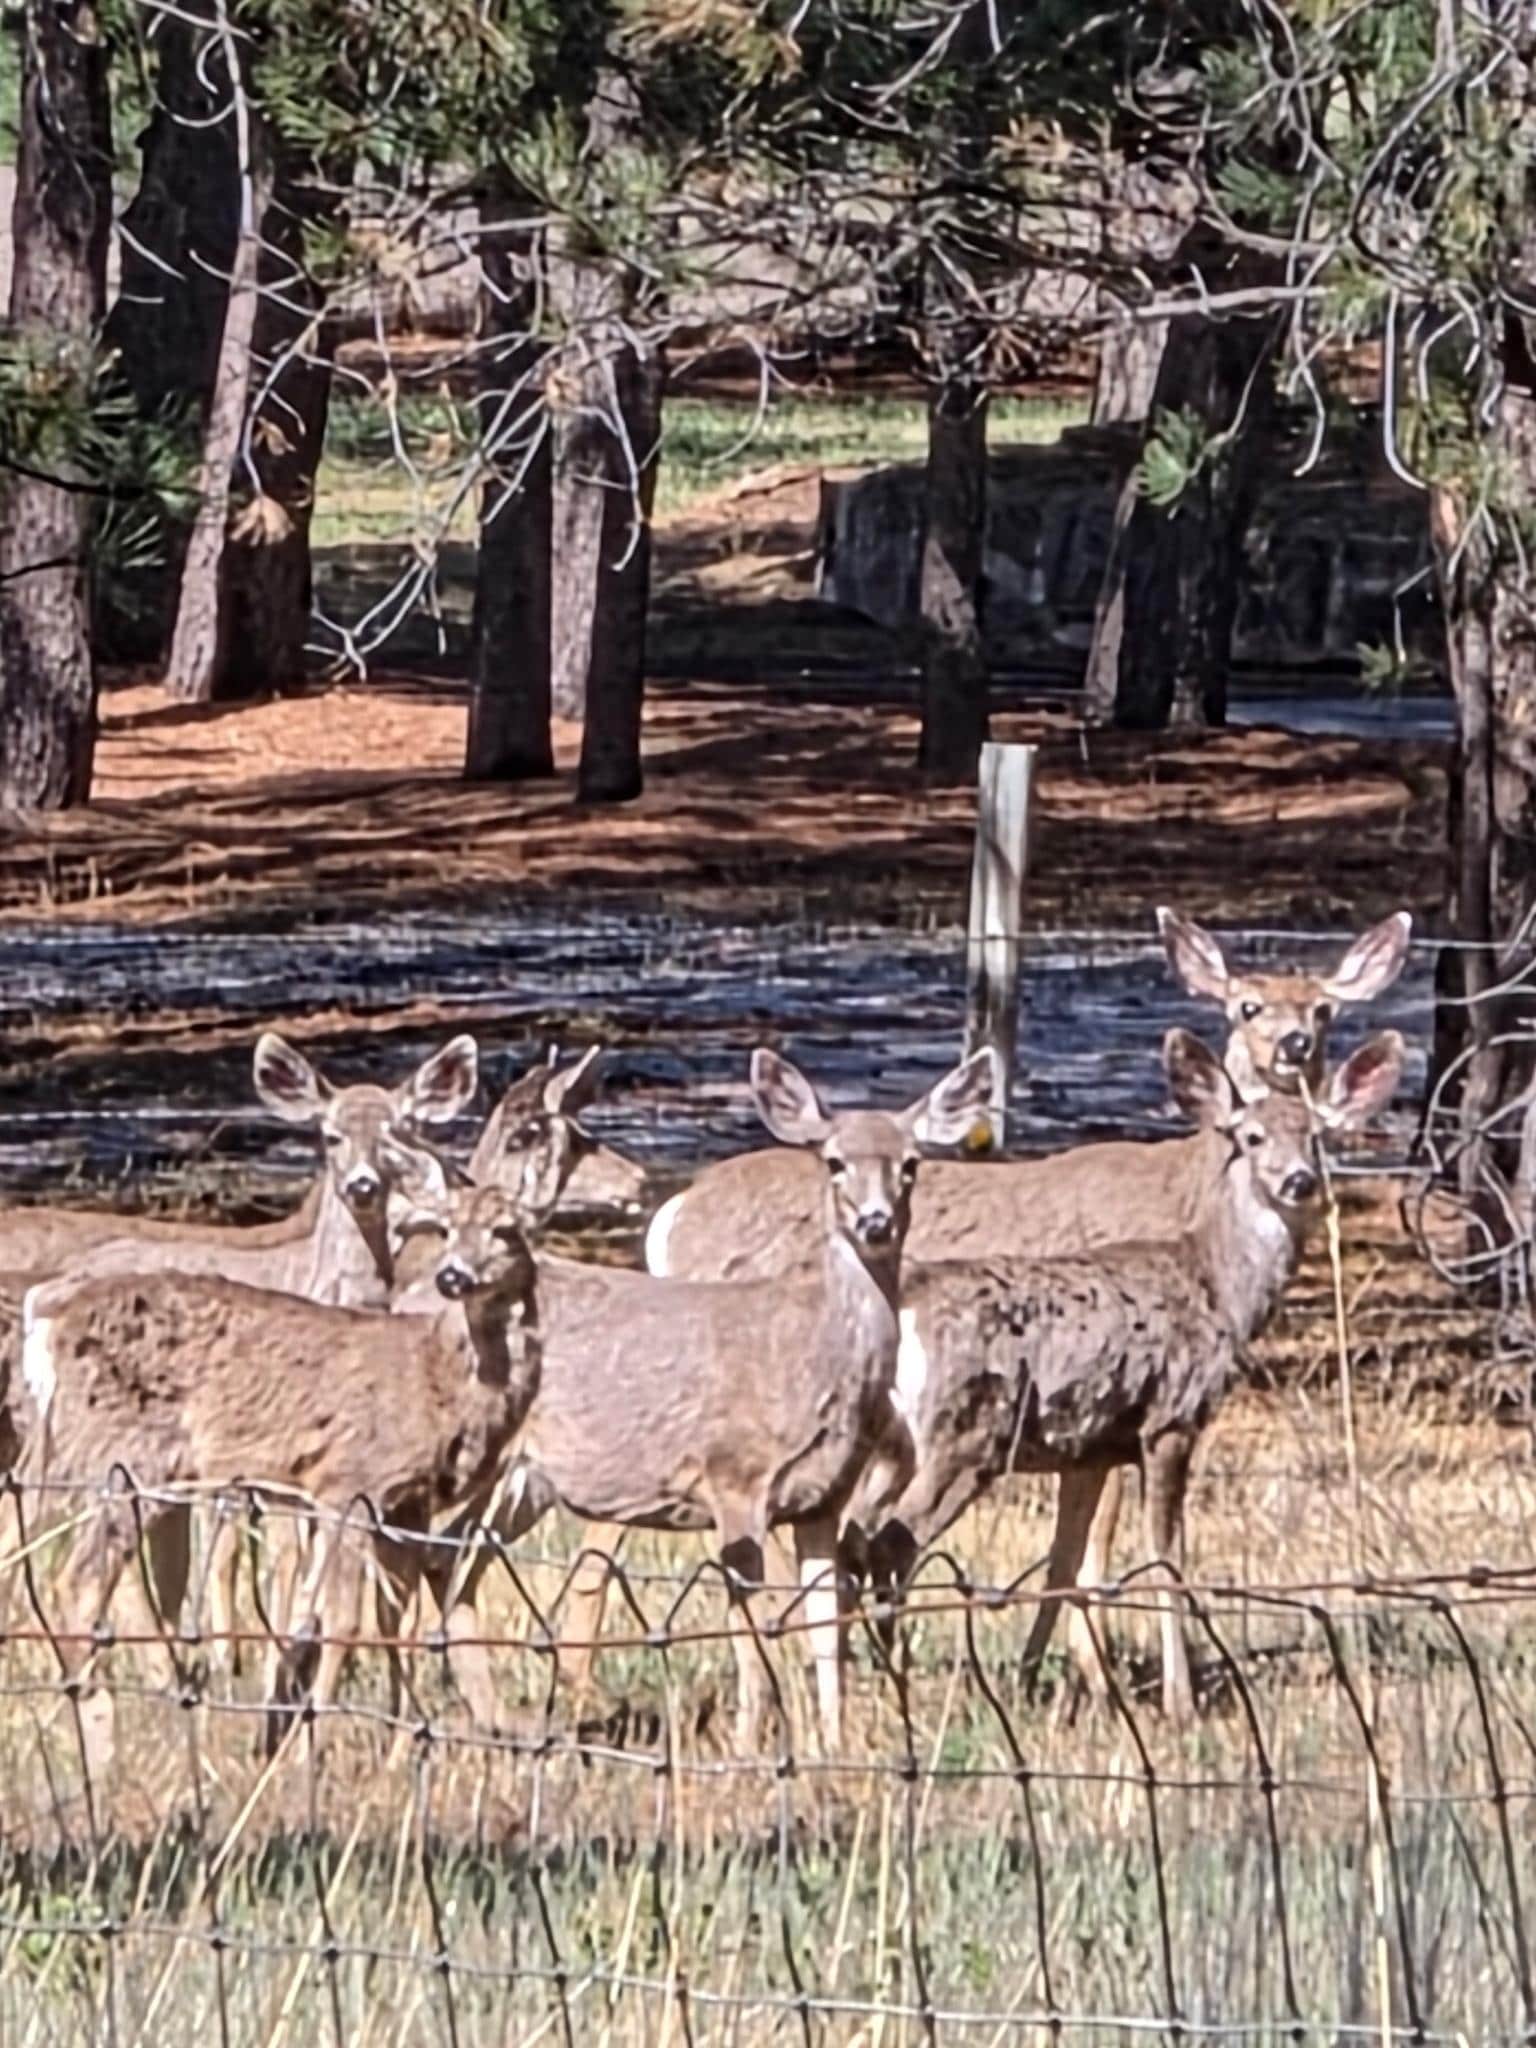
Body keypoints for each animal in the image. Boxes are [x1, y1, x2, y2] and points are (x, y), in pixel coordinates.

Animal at [13, 1175, 540, 1772]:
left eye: (506, 1229)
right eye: (446, 1228)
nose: (453, 1276)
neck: (439, 1381)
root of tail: (51, 1328)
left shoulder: (409, 1502)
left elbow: (395, 1618)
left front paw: (402, 1745)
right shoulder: (346, 1482)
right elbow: (342, 1620)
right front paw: (308, 1746)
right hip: (130, 1454)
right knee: (78, 1578)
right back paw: (107, 1737)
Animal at [388, 1046, 997, 1749]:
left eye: (912, 1164)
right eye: (834, 1161)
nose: (876, 1223)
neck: (815, 1356)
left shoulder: (824, 1497)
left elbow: (826, 1625)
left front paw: (833, 1746)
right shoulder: (733, 1477)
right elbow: (754, 1634)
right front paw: (751, 1747)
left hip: (522, 1479)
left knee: (447, 1558)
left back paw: (495, 1720)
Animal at [851, 1027, 1405, 1717]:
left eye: (1318, 1137)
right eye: (1250, 1137)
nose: (1300, 1181)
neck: (1217, 1285)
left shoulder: (1090, 1447)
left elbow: (1066, 1561)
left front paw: (1047, 1683)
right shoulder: (1171, 1419)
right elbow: (1166, 1558)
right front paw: (1180, 1699)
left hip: (894, 1442)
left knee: (855, 1532)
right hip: (964, 1432)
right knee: (893, 1540)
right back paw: (895, 1677)